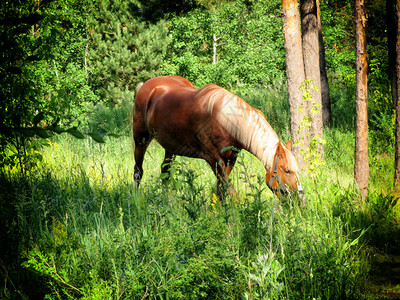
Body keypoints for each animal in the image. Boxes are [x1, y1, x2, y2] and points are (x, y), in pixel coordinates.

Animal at [133, 76, 304, 205]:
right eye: (287, 170)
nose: (300, 201)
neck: (223, 120)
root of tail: (148, 85)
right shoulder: (213, 159)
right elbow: (230, 190)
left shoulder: (230, 160)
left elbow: (221, 190)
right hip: (140, 139)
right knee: (138, 171)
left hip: (171, 147)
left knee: (165, 172)